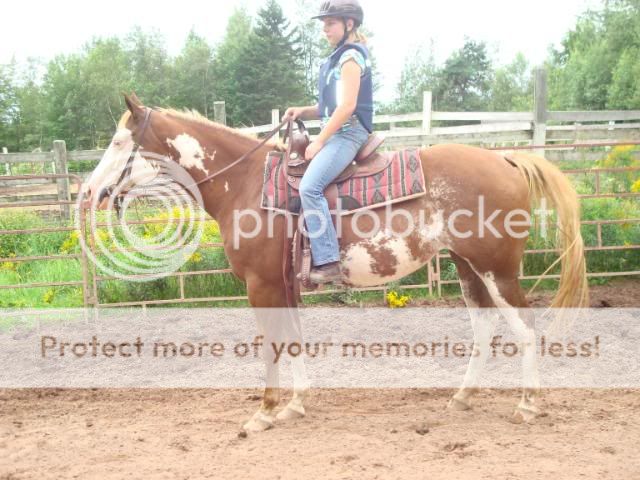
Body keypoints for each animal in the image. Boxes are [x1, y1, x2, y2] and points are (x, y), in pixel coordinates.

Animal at [85, 94, 592, 432]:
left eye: (118, 141)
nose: (89, 192)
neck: (245, 183)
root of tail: (507, 159)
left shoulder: (261, 285)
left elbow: (272, 346)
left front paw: (264, 412)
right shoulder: (284, 284)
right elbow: (293, 341)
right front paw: (296, 404)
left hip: (497, 269)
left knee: (525, 326)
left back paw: (528, 405)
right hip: (467, 266)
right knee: (484, 326)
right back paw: (463, 397)